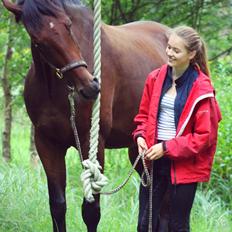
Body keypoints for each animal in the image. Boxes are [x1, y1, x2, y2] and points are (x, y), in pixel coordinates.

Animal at [2, 0, 169, 232]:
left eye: (68, 25)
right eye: (37, 40)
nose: (90, 86)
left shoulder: (93, 141)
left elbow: (91, 212)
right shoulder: (47, 144)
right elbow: (57, 206)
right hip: (138, 149)